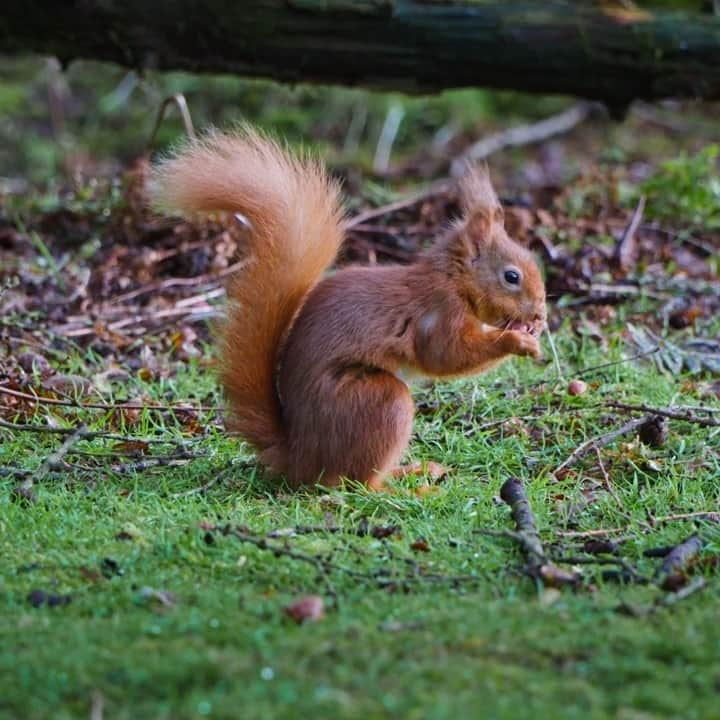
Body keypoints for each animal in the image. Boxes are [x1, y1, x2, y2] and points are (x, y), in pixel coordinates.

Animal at [152, 128, 544, 490]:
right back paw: (409, 487)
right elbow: (446, 356)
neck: (455, 281)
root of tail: (299, 457)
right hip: (379, 403)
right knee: (358, 482)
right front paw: (517, 341)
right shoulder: (439, 313)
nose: (540, 313)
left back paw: (416, 470)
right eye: (511, 276)